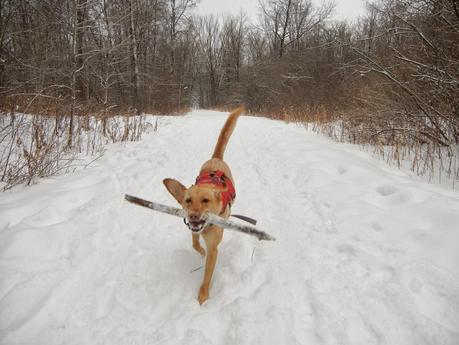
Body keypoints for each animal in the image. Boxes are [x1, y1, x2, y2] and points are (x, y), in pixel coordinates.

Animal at [164, 105, 246, 304]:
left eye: (205, 200)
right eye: (187, 201)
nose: (193, 216)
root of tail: (216, 158)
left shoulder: (214, 249)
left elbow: (207, 275)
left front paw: (202, 297)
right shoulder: (194, 230)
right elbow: (195, 243)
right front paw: (200, 251)